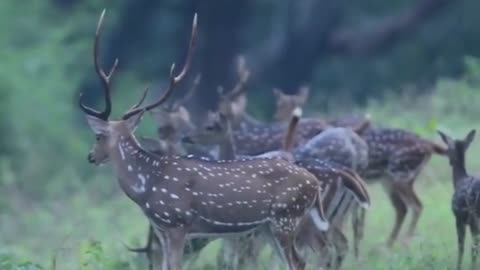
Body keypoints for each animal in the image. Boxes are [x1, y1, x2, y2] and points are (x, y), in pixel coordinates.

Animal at [82, 8, 330, 270]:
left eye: (98, 136)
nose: (91, 156)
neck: (146, 188)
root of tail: (314, 183)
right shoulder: (162, 230)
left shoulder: (177, 223)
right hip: (268, 226)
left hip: (286, 216)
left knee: (300, 260)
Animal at [438, 130, 480, 268]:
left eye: (447, 149)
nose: (450, 161)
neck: (459, 180)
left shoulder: (460, 218)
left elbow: (462, 247)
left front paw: (459, 267)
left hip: (474, 215)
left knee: (473, 246)